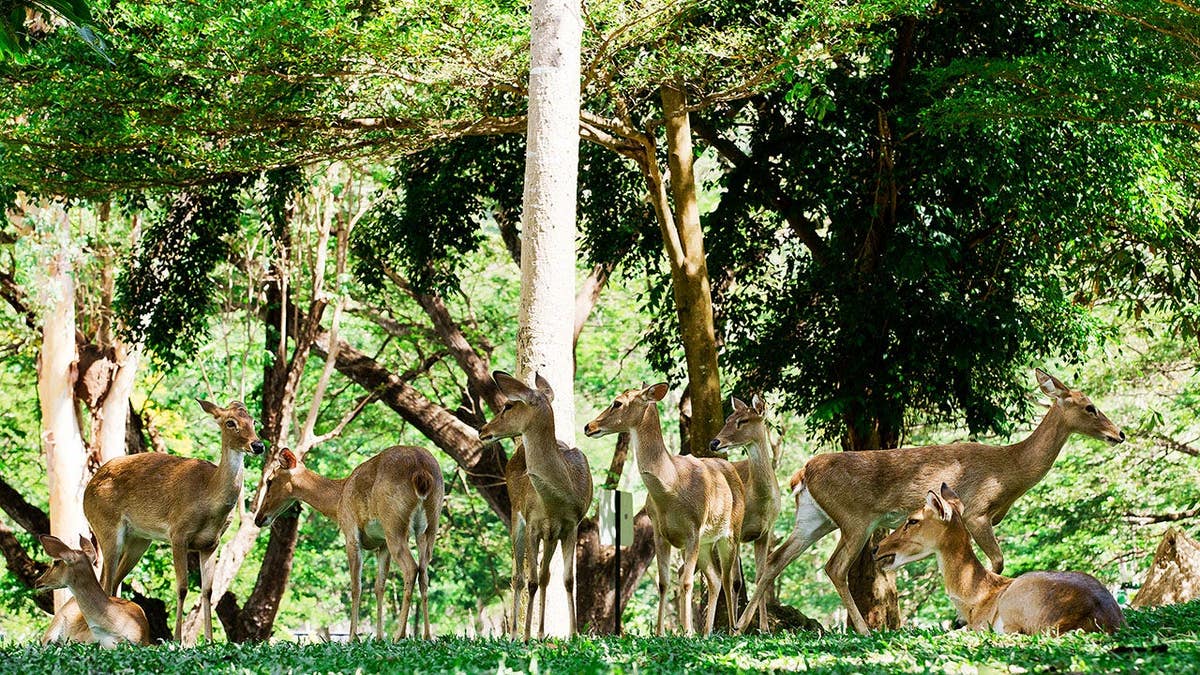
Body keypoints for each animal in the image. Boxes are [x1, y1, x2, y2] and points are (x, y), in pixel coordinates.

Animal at [83, 399, 265, 644]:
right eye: (230, 422)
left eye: (253, 421)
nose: (258, 445)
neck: (209, 497)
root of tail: (87, 489)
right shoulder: (178, 533)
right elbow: (182, 587)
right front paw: (178, 639)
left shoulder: (211, 543)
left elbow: (208, 591)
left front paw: (209, 640)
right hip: (106, 526)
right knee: (106, 581)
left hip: (139, 540)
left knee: (114, 581)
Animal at [253, 445, 444, 640]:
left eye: (269, 481)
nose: (258, 519)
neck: (338, 500)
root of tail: (422, 473)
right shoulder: (382, 543)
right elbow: (379, 586)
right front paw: (378, 637)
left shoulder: (351, 533)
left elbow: (356, 586)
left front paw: (354, 637)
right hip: (429, 527)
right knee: (424, 573)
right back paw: (427, 635)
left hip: (394, 525)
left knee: (411, 568)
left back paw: (400, 635)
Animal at [477, 371, 593, 640]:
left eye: (508, 405)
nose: (482, 430)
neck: (556, 500)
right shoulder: (532, 524)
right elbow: (529, 581)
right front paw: (526, 635)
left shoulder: (571, 526)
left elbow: (567, 579)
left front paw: (574, 634)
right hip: (515, 517)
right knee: (519, 576)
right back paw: (515, 634)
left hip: (550, 537)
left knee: (545, 575)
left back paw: (541, 633)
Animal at [584, 383, 745, 636]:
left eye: (617, 402)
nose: (589, 426)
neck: (672, 487)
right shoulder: (659, 532)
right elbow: (663, 582)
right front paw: (661, 632)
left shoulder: (694, 530)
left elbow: (687, 582)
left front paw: (687, 632)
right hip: (707, 544)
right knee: (715, 578)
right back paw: (707, 632)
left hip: (731, 533)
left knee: (730, 579)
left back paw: (732, 629)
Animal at [710, 394, 781, 633]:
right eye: (727, 419)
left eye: (743, 420)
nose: (714, 442)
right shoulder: (737, 532)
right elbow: (735, 582)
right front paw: (735, 628)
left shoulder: (765, 533)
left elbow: (760, 577)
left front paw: (764, 628)